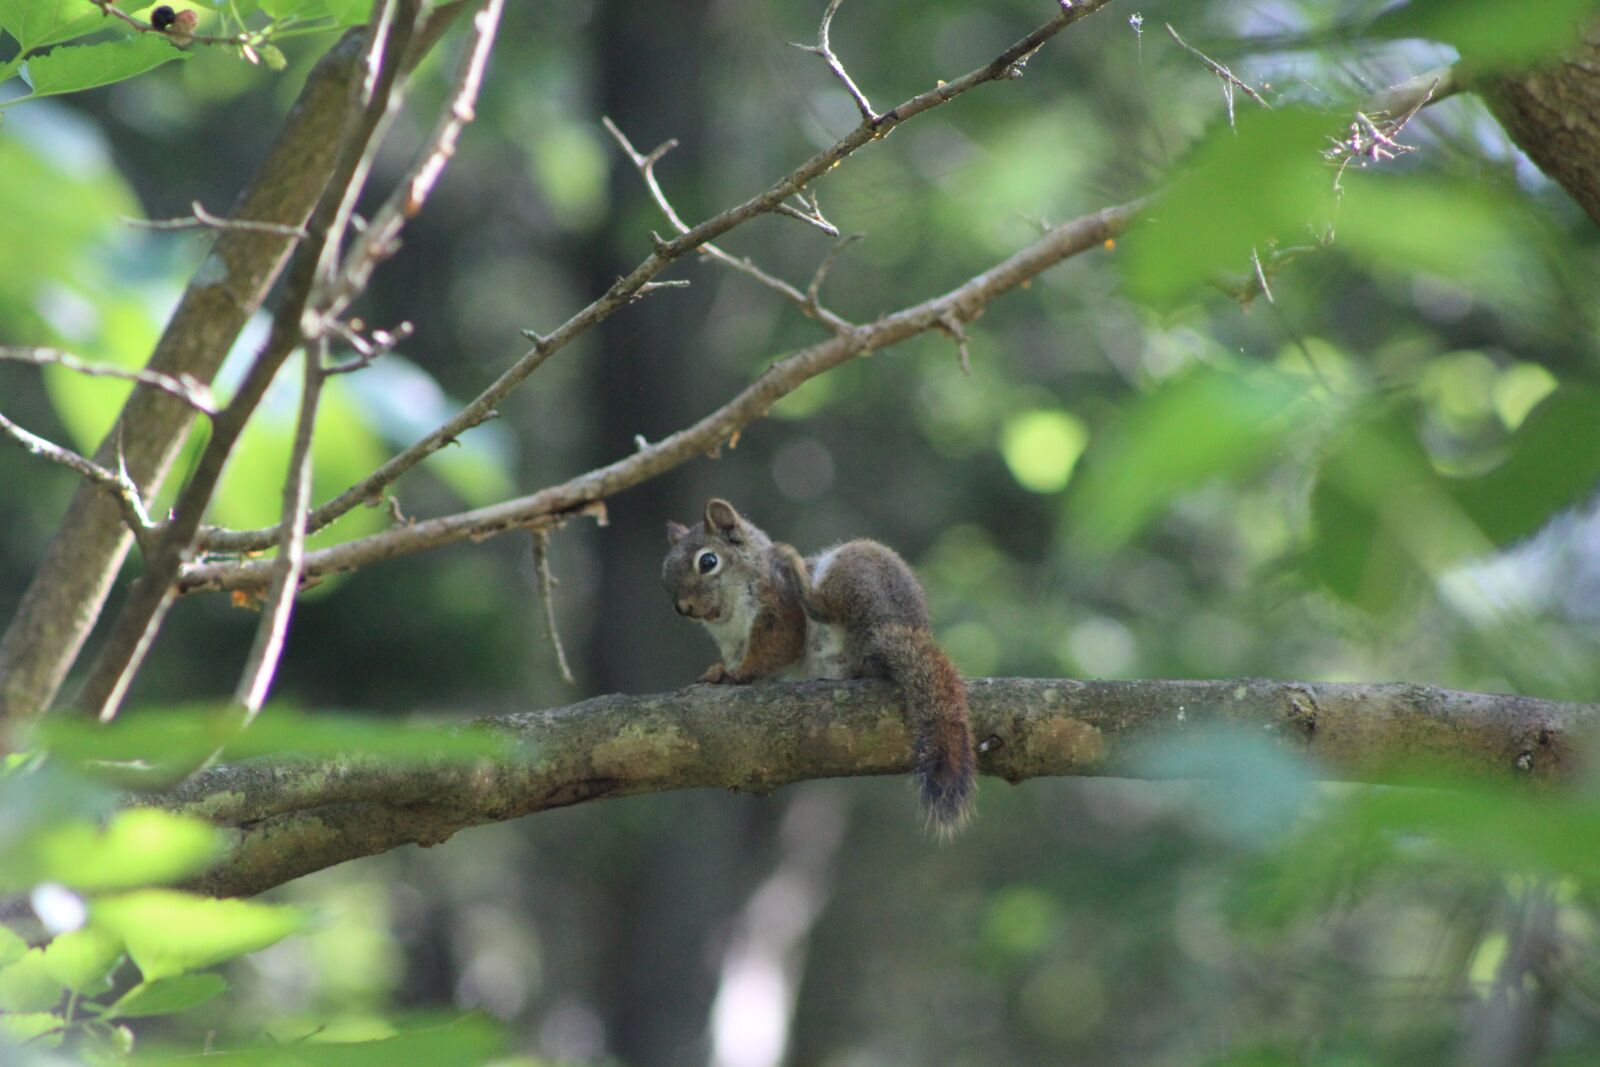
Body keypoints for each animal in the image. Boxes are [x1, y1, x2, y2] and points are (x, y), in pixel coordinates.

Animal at [662, 499, 972, 831]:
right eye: (665, 576)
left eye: (708, 562)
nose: (683, 608)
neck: (730, 620)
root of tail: (898, 628)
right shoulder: (735, 646)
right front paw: (718, 671)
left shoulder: (780, 606)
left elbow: (778, 646)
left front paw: (738, 673)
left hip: (855, 571)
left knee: (823, 608)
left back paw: (800, 574)